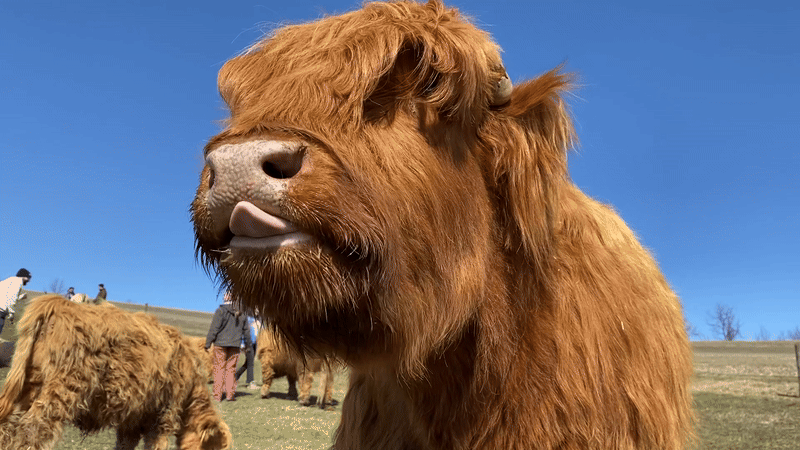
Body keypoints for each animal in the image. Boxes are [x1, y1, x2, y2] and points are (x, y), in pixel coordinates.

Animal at [0, 294, 231, 450]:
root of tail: (59, 303)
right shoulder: (163, 416)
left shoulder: (131, 421)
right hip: (60, 393)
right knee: (30, 432)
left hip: (30, 386)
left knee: (8, 428)